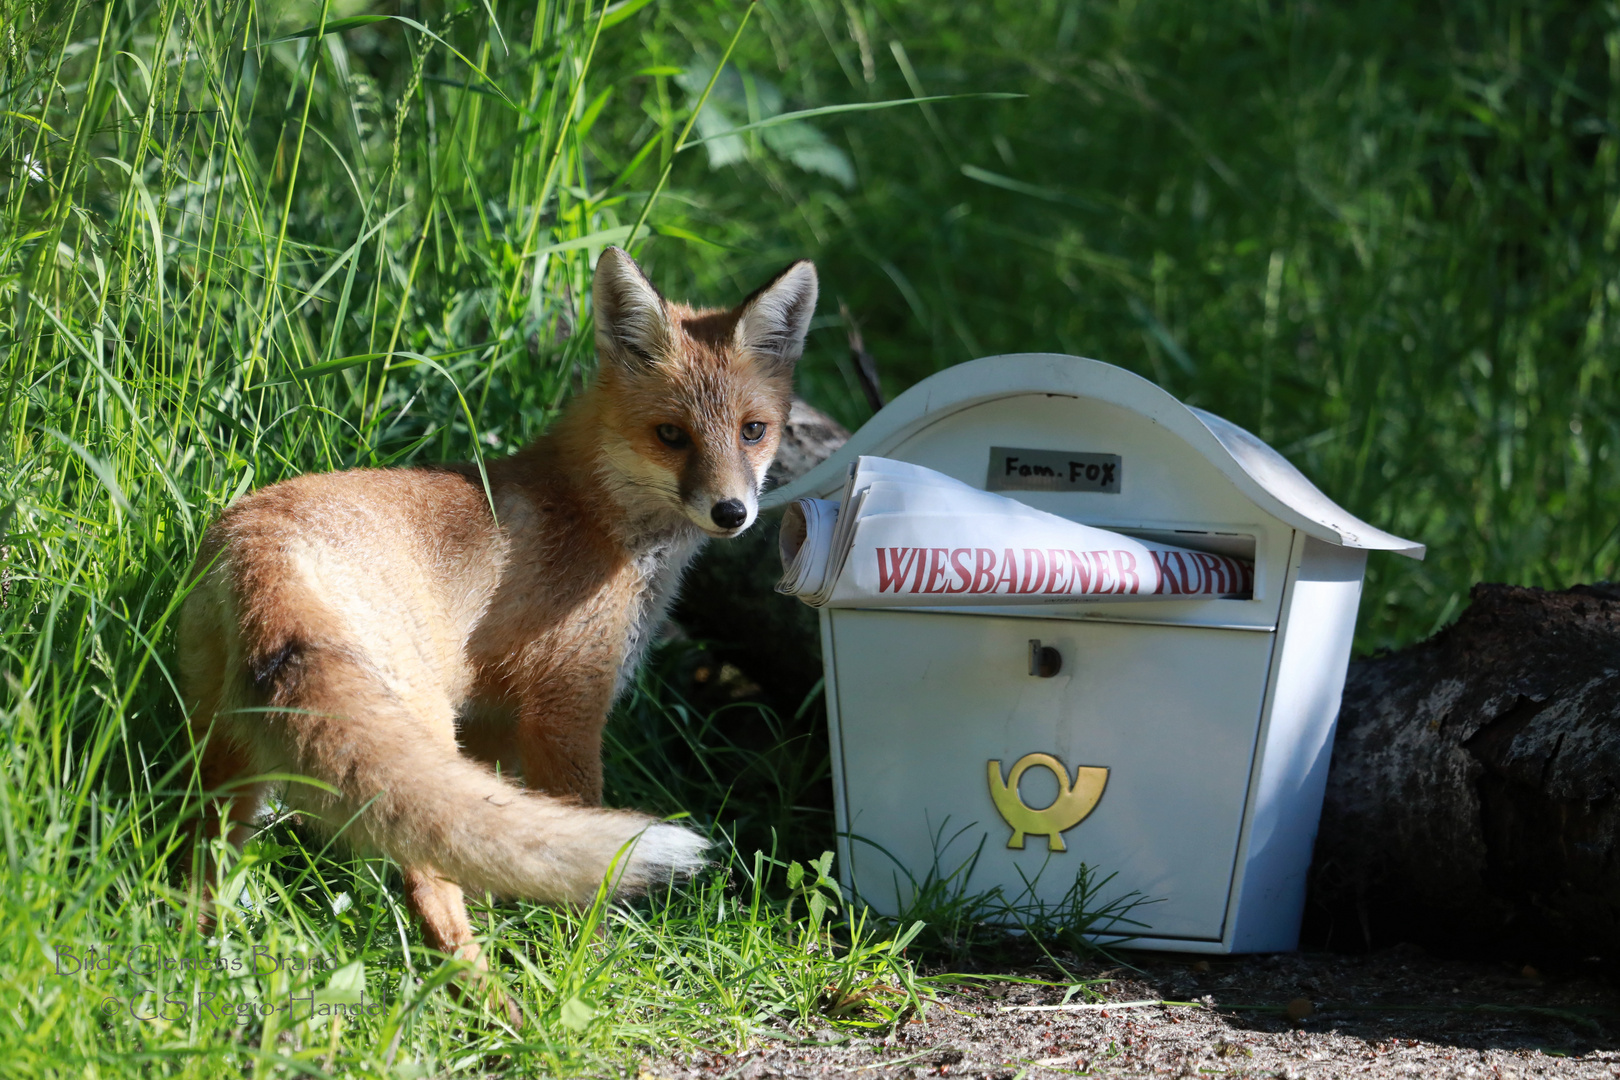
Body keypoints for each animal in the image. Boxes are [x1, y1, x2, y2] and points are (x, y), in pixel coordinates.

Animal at [177, 249, 816, 990]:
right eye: (671, 436)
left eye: (752, 431)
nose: (732, 513)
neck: (595, 514)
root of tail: (260, 550)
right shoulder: (564, 706)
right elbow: (577, 859)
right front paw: (591, 955)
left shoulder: (493, 726)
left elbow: (510, 850)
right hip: (416, 732)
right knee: (428, 886)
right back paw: (487, 999)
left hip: (232, 762)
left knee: (200, 863)